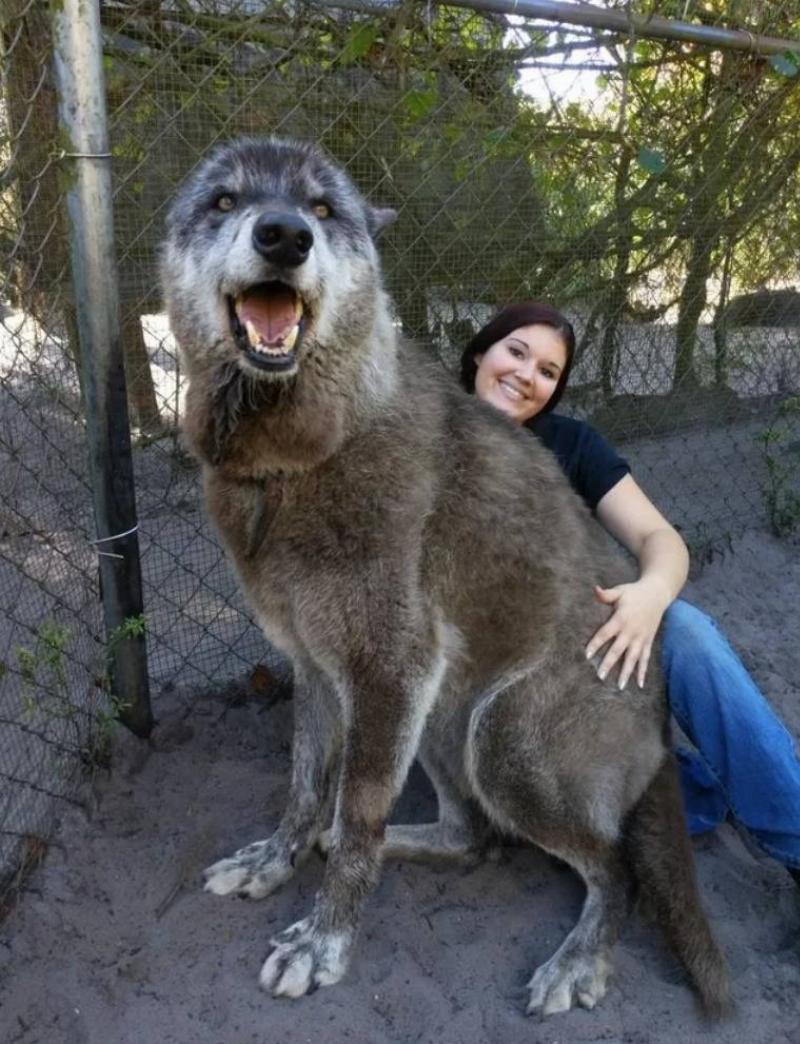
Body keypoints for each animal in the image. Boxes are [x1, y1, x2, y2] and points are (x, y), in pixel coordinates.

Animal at [161, 137, 730, 1017]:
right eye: (223, 201)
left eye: (323, 209)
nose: (284, 236)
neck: (298, 458)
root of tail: (662, 722)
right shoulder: (319, 669)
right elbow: (304, 786)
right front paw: (276, 859)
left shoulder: (390, 668)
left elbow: (357, 809)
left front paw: (325, 943)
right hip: (440, 715)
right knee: (472, 838)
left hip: (500, 738)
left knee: (616, 869)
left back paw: (577, 959)